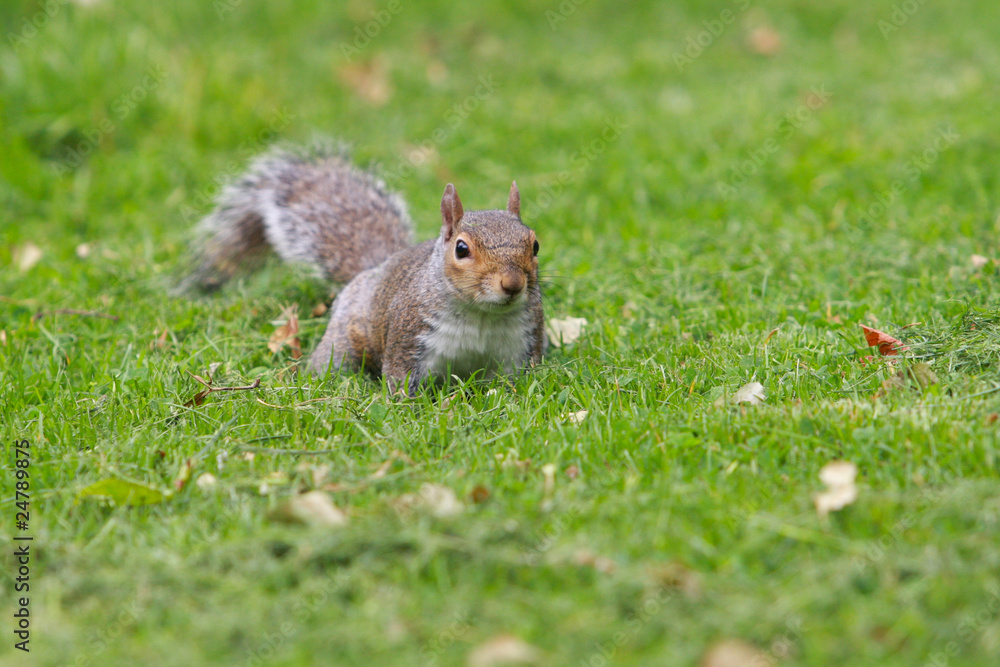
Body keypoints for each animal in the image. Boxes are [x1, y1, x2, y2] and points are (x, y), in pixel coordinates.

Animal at [184, 145, 546, 395]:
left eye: (535, 245)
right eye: (461, 249)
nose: (513, 284)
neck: (481, 314)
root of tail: (374, 269)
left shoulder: (521, 345)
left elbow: (517, 383)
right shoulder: (408, 336)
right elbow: (401, 379)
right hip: (344, 340)